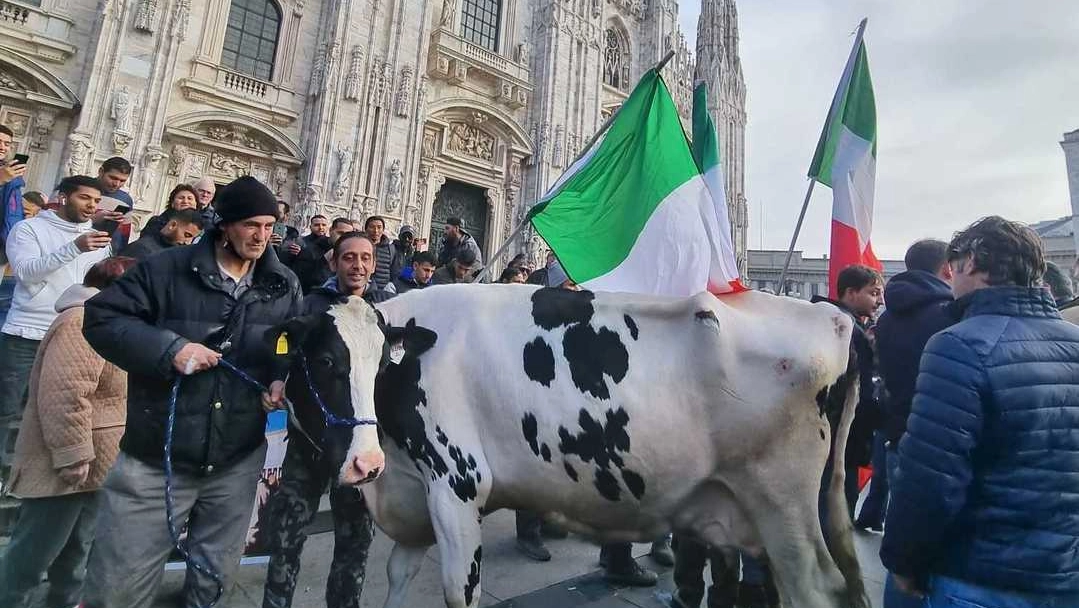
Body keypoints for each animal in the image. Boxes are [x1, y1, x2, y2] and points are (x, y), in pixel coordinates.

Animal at [267, 285, 867, 608]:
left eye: (372, 368)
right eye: (325, 360)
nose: (363, 463)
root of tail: (836, 315)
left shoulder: (457, 484)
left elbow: (459, 591)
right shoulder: (416, 496)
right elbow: (397, 579)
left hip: (783, 508)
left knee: (817, 589)